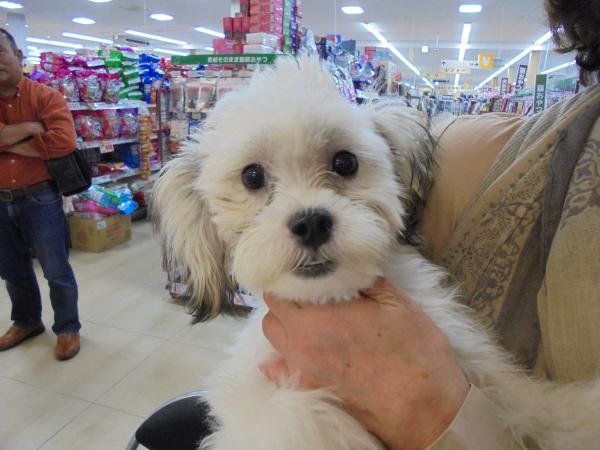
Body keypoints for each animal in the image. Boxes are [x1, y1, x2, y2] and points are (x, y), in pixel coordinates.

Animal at [154, 56, 600, 450]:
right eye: (252, 176)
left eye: (345, 161)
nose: (311, 222)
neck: (333, 297)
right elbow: (298, 417)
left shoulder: (471, 355)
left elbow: (528, 402)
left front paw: (582, 414)